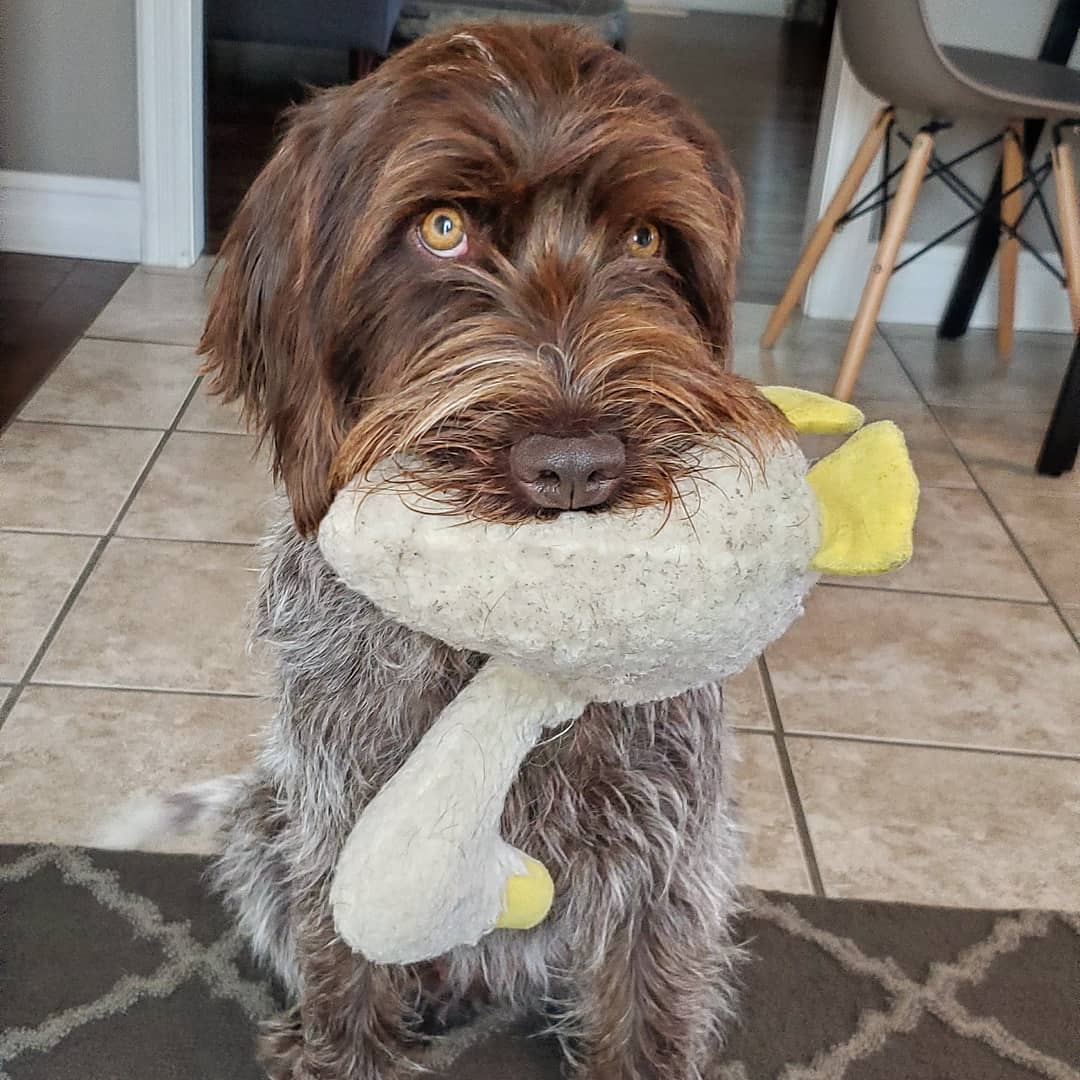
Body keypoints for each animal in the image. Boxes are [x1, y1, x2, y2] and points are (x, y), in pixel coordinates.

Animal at [194, 23, 786, 1080]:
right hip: (263, 820)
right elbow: (345, 968)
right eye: (440, 228)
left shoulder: (669, 847)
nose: (576, 467)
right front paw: (342, 1048)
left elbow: (649, 1002)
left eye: (646, 240)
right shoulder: (341, 812)